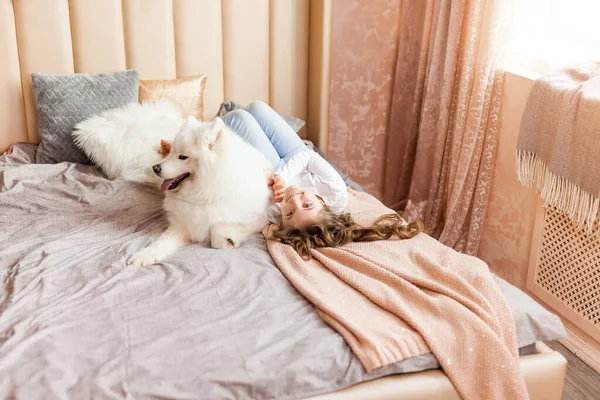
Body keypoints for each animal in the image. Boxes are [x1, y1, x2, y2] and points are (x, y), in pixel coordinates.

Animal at [130, 115, 274, 266]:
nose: (155, 168)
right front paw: (144, 255)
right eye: (171, 152)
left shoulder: (259, 220)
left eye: (182, 156)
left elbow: (218, 228)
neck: (203, 193)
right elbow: (161, 242)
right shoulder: (181, 226)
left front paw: (226, 238)